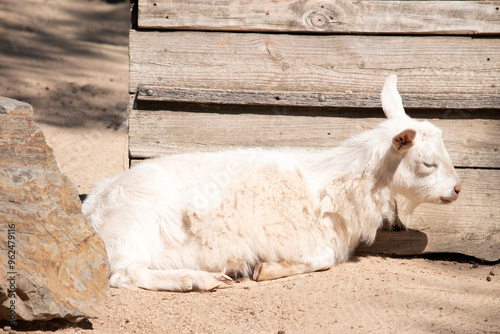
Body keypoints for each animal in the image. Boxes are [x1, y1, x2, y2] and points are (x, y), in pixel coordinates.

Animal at [82, 75, 460, 290]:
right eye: (427, 163)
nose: (457, 189)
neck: (338, 182)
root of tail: (93, 205)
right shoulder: (294, 236)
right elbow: (323, 258)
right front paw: (266, 269)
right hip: (134, 231)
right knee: (124, 275)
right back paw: (201, 279)